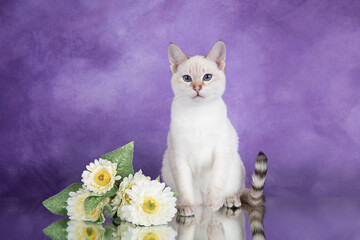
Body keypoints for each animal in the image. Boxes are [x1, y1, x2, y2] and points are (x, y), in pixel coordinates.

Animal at [160, 40, 268, 216]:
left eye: (207, 77)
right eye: (187, 78)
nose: (197, 88)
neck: (198, 114)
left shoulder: (222, 149)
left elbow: (217, 180)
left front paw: (215, 202)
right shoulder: (178, 156)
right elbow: (184, 186)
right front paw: (186, 206)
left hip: (236, 165)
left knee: (237, 191)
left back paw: (228, 200)